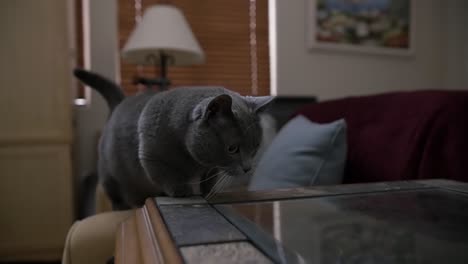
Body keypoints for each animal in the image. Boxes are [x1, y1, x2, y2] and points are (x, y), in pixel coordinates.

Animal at [74, 69, 274, 209]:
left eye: (255, 146)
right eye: (233, 149)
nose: (248, 168)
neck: (194, 162)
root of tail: (120, 102)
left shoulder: (212, 167)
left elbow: (210, 177)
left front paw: (208, 192)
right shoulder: (151, 156)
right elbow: (166, 174)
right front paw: (181, 191)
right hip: (109, 175)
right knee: (116, 196)